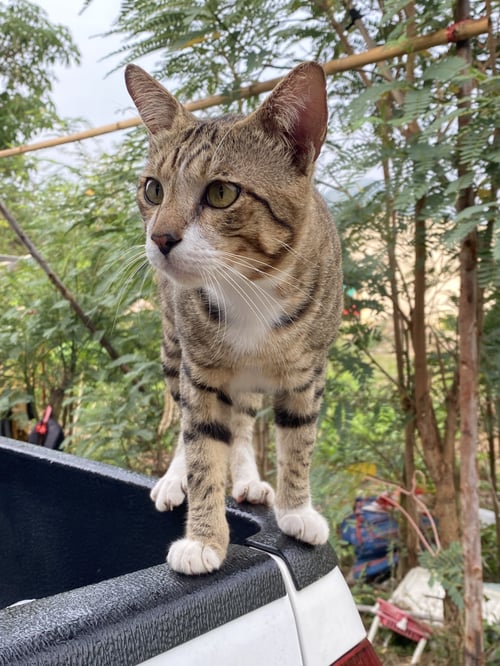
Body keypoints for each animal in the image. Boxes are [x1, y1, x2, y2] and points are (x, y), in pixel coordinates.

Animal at [125, 61, 343, 575]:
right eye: (153, 189)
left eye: (222, 193)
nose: (160, 238)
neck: (249, 288)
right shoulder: (200, 373)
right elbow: (202, 447)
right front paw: (204, 538)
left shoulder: (308, 374)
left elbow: (298, 443)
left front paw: (296, 510)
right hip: (173, 349)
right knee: (192, 421)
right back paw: (174, 478)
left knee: (243, 422)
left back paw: (247, 477)